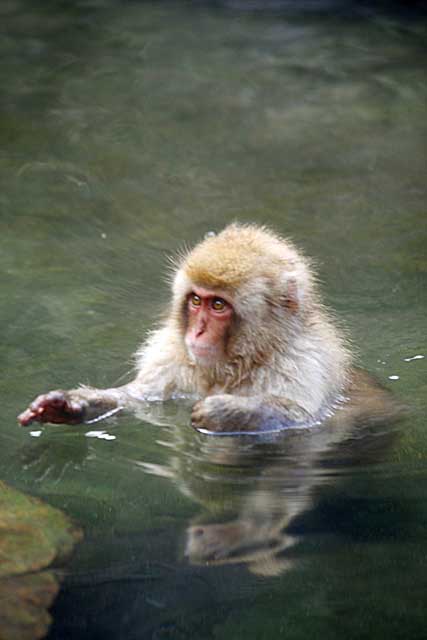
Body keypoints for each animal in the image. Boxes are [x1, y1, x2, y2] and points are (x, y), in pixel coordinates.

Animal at [18, 222, 358, 432]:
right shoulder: (170, 359)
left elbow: (301, 418)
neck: (233, 366)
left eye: (218, 305)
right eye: (196, 300)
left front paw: (230, 413)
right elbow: (137, 397)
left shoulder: (306, 364)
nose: (197, 331)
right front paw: (68, 405)